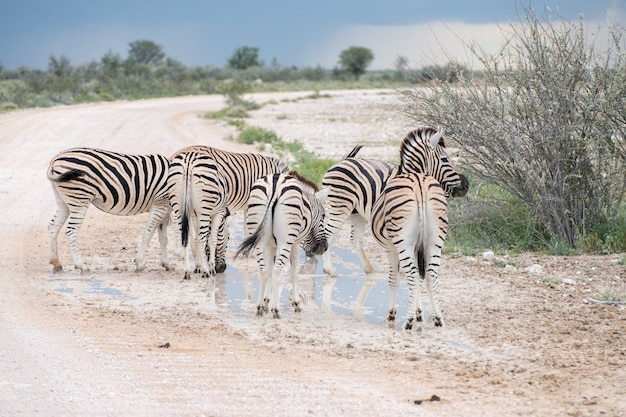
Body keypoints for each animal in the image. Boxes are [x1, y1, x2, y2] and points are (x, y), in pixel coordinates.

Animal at [235, 171, 332, 316]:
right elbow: (293, 273)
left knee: (263, 270)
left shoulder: (271, 246)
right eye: (324, 215)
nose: (323, 248)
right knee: (277, 270)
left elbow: (269, 270)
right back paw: (276, 310)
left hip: (259, 238)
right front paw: (296, 304)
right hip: (285, 240)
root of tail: (275, 186)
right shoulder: (295, 244)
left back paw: (259, 307)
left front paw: (266, 302)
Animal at [322, 145, 394, 276]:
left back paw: (370, 269)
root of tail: (342, 161)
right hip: (340, 205)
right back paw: (329, 270)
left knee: (355, 239)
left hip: (356, 213)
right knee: (328, 234)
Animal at [368, 127, 466, 328]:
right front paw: (420, 312)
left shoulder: (391, 247)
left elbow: (394, 279)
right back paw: (438, 318)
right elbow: (420, 278)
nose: (466, 185)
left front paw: (393, 314)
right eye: (446, 159)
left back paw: (408, 321)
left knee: (413, 275)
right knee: (430, 274)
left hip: (403, 242)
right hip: (435, 241)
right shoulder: (416, 246)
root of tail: (419, 184)